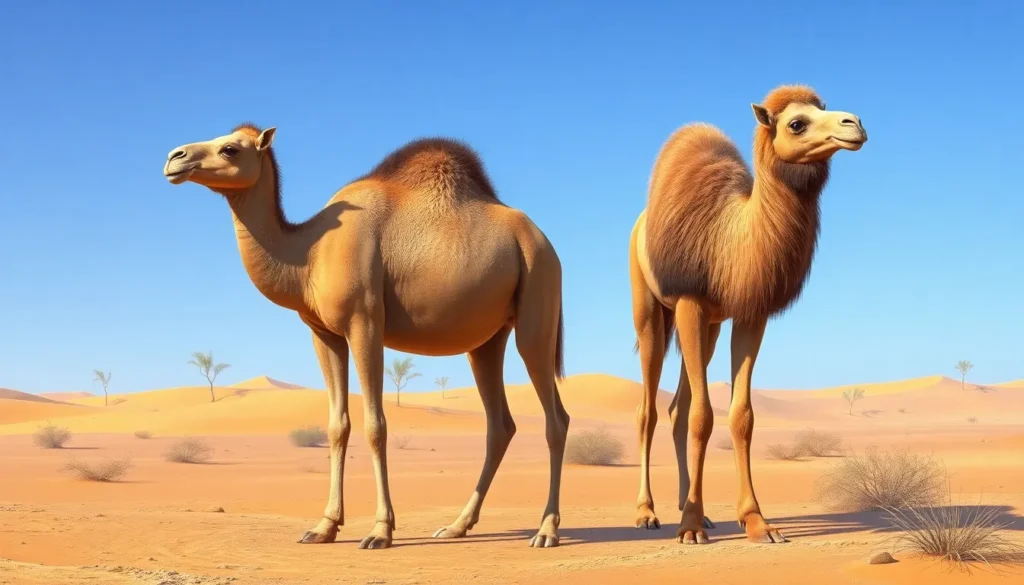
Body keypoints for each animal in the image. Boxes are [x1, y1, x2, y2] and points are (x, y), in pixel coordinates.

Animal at [162, 125, 569, 549]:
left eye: (230, 149)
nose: (175, 158)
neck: (308, 254)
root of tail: (544, 241)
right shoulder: (323, 333)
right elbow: (337, 425)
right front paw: (324, 527)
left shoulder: (365, 322)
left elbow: (376, 425)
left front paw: (380, 531)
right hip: (487, 339)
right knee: (499, 424)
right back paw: (457, 526)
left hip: (538, 293)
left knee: (555, 417)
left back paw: (546, 530)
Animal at [628, 85, 867, 544]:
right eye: (797, 123)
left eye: (824, 108)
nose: (856, 124)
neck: (731, 241)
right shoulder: (690, 301)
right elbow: (704, 415)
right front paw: (688, 527)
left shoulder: (748, 313)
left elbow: (741, 416)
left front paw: (756, 521)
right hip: (650, 310)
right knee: (649, 411)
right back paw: (648, 513)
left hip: (710, 326)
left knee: (677, 408)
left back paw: (697, 511)